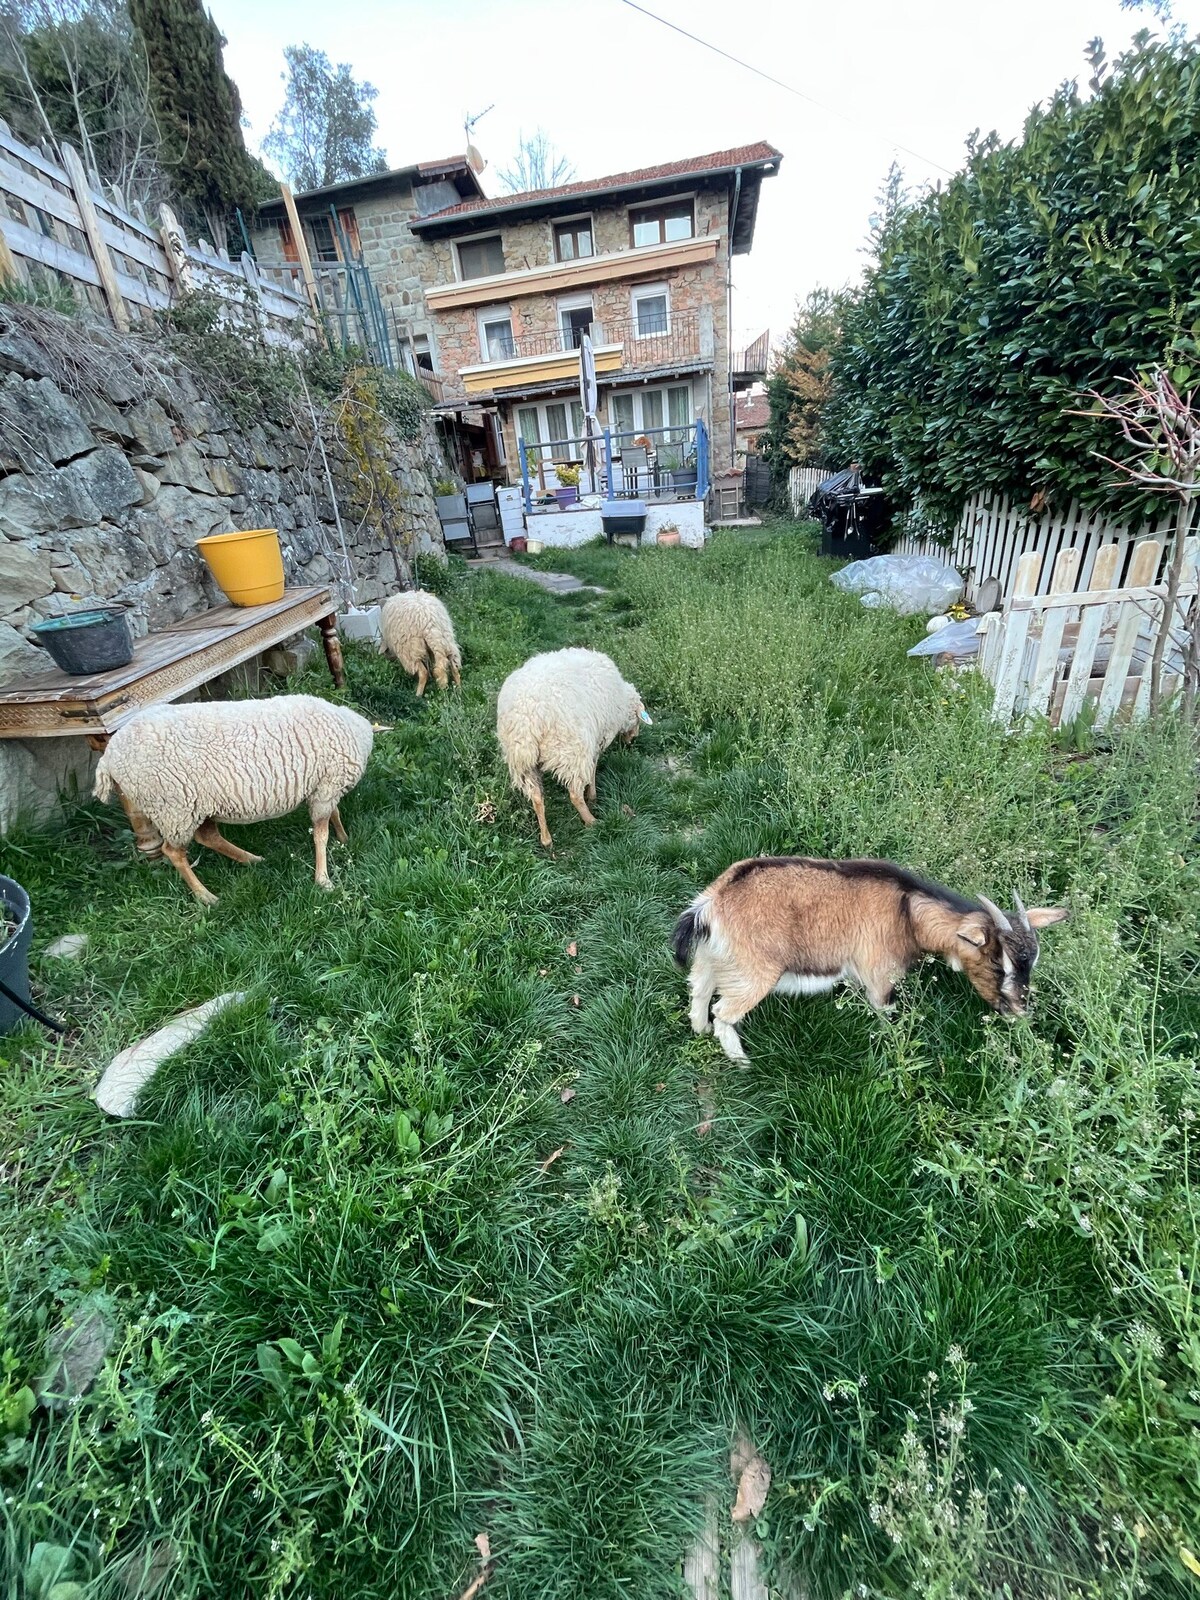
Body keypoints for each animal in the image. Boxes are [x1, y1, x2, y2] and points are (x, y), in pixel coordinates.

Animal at [94, 694, 374, 908]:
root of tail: (107, 759)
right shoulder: (327, 786)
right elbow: (320, 835)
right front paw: (324, 879)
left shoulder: (324, 786)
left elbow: (334, 816)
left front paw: (344, 839)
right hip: (173, 807)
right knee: (173, 852)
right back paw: (205, 896)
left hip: (195, 806)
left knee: (208, 837)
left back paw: (252, 860)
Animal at [496, 646, 652, 851]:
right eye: (637, 720)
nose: (632, 740)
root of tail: (528, 719)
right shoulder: (596, 739)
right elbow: (593, 768)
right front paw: (592, 795)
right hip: (571, 751)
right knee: (574, 794)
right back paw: (592, 821)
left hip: (522, 762)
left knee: (537, 797)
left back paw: (546, 839)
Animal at [678, 864, 1068, 1062]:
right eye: (999, 964)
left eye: (1031, 962)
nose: (1020, 1010)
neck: (907, 912)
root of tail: (711, 905)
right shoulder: (880, 975)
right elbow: (885, 1015)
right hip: (754, 971)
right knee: (723, 1012)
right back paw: (741, 1061)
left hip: (714, 956)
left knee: (699, 989)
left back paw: (699, 1030)